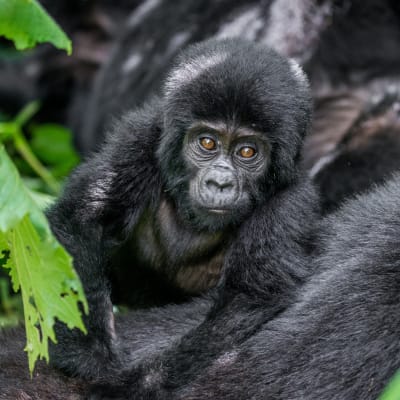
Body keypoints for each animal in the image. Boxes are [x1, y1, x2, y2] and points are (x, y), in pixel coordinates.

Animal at [47, 38, 318, 384]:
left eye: (247, 151)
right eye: (207, 143)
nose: (219, 183)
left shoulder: (291, 201)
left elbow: (246, 300)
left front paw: (143, 381)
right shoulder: (140, 138)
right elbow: (83, 221)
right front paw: (90, 353)